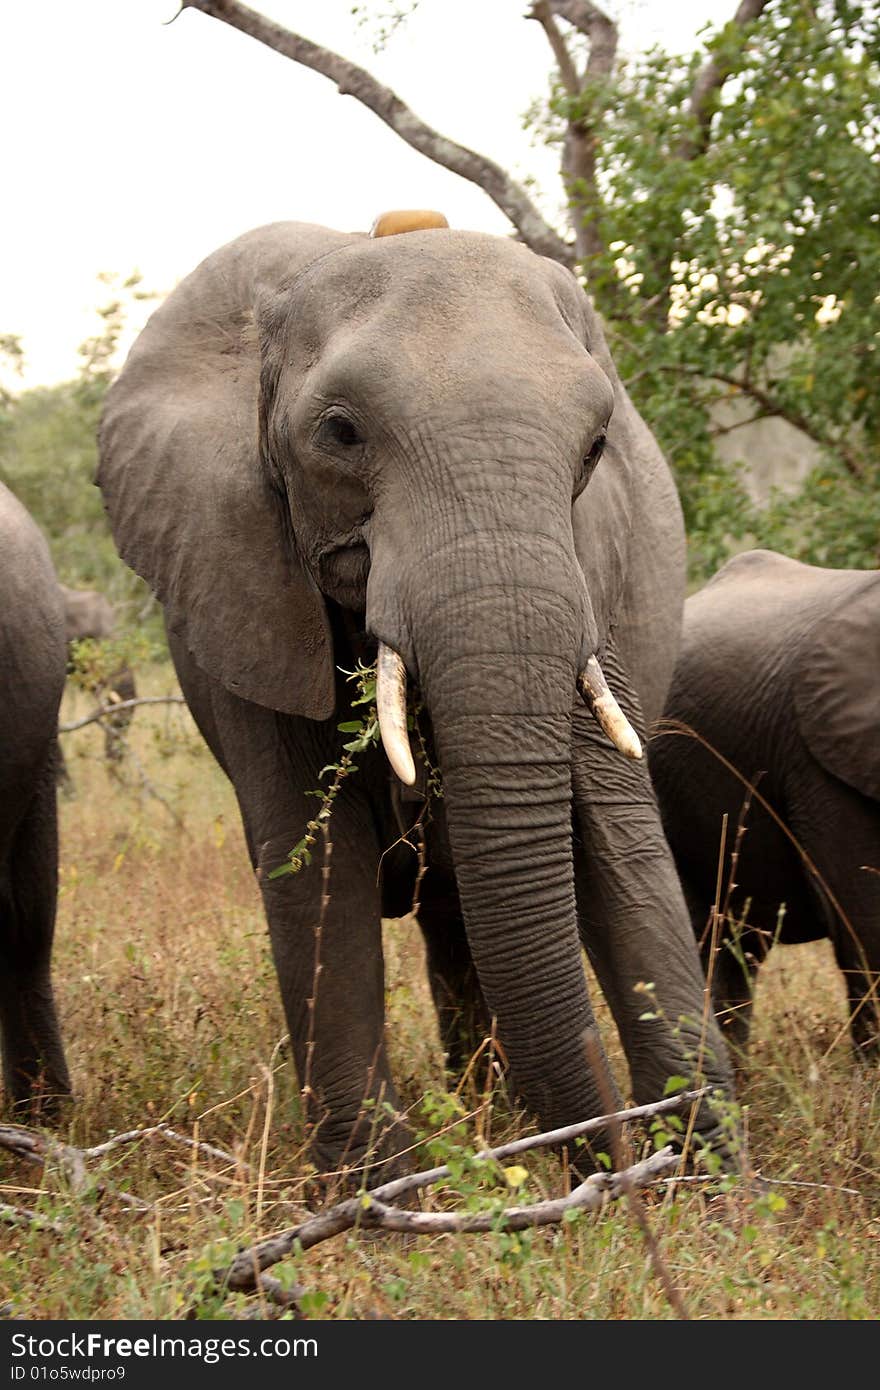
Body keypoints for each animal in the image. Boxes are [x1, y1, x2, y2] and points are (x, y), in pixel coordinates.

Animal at [94, 211, 734, 1178]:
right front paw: (377, 1190)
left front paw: (712, 1169)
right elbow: (314, 859)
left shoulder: (595, 564)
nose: (613, 1153)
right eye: (341, 433)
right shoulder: (240, 569)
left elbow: (613, 824)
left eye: (594, 448)